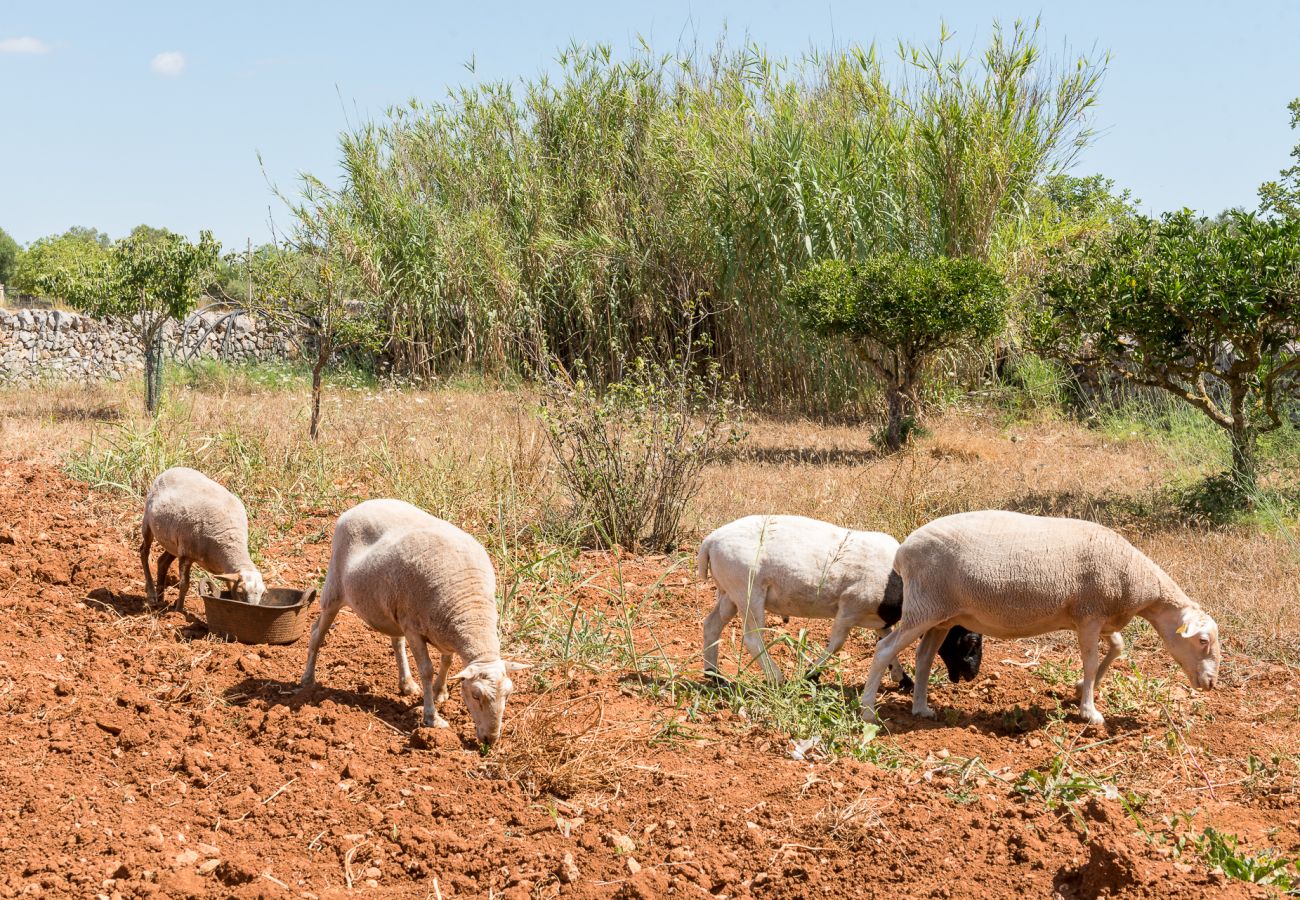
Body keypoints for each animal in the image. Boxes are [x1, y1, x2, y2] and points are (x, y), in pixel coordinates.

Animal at [141, 463, 265, 611]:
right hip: (148, 523)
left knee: (162, 562)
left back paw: (160, 598)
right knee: (144, 552)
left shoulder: (224, 571)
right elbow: (184, 585)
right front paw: (178, 611)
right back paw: (152, 595)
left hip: (174, 543)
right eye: (241, 592)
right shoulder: (186, 555)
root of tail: (172, 469)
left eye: (262, 594)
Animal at [299, 499, 527, 743]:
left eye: (509, 693)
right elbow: (426, 669)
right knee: (317, 633)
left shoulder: (442, 629)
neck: (470, 608)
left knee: (396, 642)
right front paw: (431, 718)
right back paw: (307, 680)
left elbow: (447, 661)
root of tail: (362, 504)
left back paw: (406, 684)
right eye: (476, 695)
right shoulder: (413, 629)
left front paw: (440, 692)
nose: (490, 740)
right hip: (334, 590)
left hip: (391, 608)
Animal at [702, 517, 982, 686]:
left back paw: (713, 674)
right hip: (748, 591)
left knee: (711, 624)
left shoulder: (880, 618)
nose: (971, 675)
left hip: (730, 592)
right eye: (970, 641)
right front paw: (811, 674)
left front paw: (903, 679)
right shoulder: (849, 608)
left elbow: (887, 643)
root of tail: (711, 541)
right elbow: (837, 644)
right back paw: (776, 677)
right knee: (752, 638)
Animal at [863, 509, 1216, 728]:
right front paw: (1089, 711)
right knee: (884, 650)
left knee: (923, 657)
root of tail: (903, 551)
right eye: (1203, 641)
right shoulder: (1090, 615)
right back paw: (867, 710)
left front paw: (1081, 689)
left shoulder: (1097, 617)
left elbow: (1117, 647)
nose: (1211, 683)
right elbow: (1091, 661)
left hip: (940, 615)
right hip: (923, 609)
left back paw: (921, 708)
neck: (1138, 583)